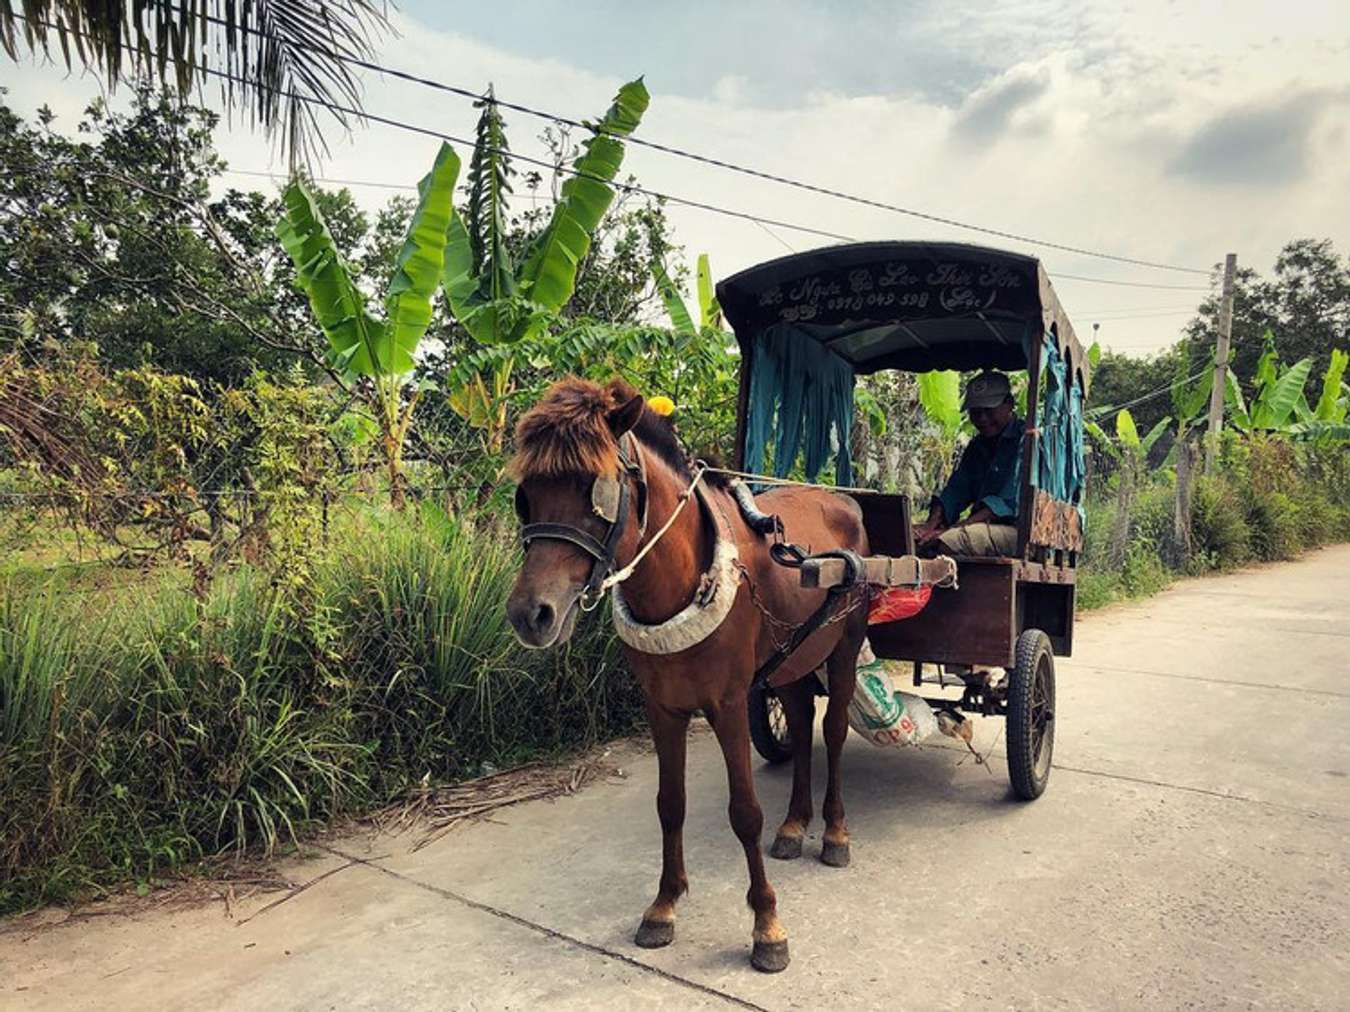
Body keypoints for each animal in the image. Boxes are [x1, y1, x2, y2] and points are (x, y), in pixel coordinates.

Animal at [504, 377, 864, 976]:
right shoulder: (663, 706)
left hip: (846, 644)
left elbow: (745, 812)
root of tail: (842, 499)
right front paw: (663, 906)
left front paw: (767, 925)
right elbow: (669, 804)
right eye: (525, 495)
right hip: (793, 656)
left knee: (833, 732)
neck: (680, 578)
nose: (531, 614)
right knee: (798, 717)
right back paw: (795, 825)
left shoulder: (728, 703)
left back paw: (834, 832)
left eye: (595, 492)